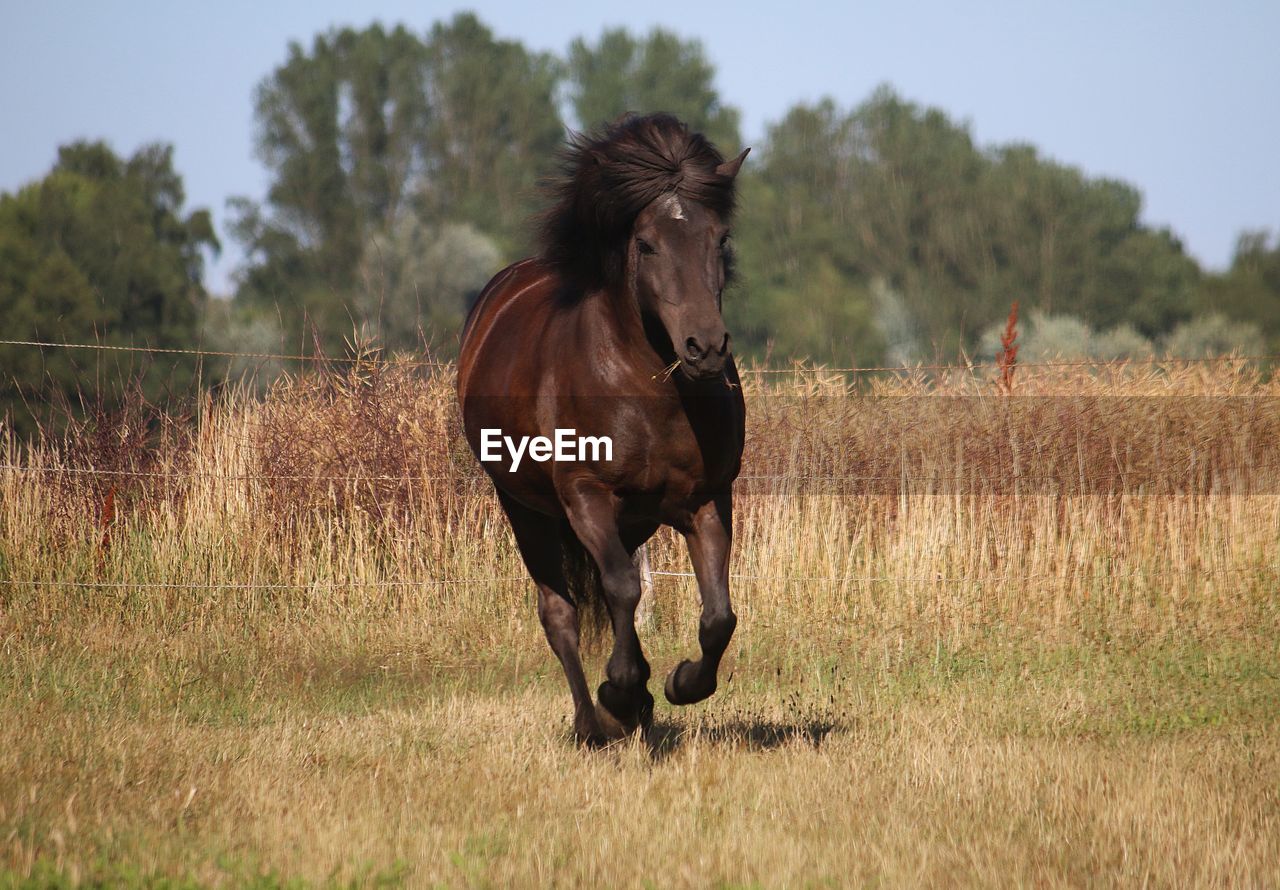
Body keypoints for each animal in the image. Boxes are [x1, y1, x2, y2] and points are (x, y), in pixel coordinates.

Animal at [458, 116, 747, 742]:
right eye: (646, 244)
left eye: (720, 240)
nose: (706, 348)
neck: (651, 391)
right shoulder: (586, 496)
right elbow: (620, 588)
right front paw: (620, 692)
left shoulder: (708, 499)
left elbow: (717, 616)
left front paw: (678, 684)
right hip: (526, 511)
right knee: (560, 613)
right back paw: (594, 721)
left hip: (632, 519)